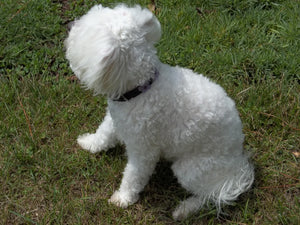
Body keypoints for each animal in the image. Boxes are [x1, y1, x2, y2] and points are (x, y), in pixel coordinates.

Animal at [65, 4, 253, 221]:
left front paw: (123, 199)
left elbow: (133, 177)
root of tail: (237, 165)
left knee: (211, 195)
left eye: (83, 32)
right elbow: (103, 134)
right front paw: (89, 143)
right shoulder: (115, 119)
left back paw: (185, 209)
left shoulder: (143, 150)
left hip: (191, 168)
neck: (142, 88)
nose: (69, 25)